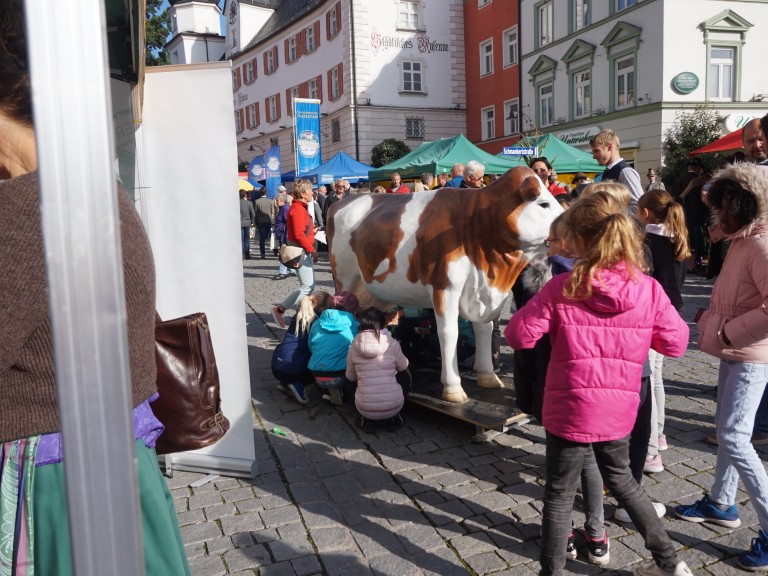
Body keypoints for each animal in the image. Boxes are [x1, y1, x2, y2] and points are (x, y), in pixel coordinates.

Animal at [326, 164, 564, 402]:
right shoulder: (445, 287)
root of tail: (342, 202)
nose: (569, 225)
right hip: (345, 278)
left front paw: (487, 376)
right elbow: (449, 333)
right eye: (544, 204)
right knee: (342, 311)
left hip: (373, 290)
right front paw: (453, 388)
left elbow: (484, 329)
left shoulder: (482, 293)